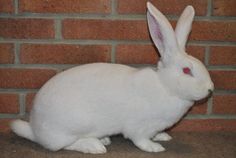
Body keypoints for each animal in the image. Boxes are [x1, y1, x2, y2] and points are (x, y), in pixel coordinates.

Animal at [10, 1, 214, 154]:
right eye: (186, 71)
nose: (210, 88)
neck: (165, 87)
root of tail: (35, 129)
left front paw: (163, 136)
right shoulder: (139, 126)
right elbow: (140, 139)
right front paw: (154, 147)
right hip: (73, 126)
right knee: (61, 145)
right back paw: (95, 146)